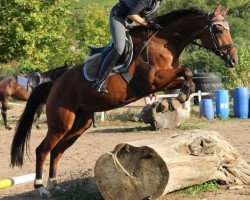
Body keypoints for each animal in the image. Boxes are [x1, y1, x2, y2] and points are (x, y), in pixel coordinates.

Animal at [10, 5, 237, 198]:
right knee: (43, 150)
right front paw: (175, 101)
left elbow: (187, 78)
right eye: (218, 29)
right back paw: (40, 188)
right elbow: (187, 71)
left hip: (79, 124)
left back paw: (54, 184)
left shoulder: (165, 79)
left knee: (56, 151)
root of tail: (55, 83)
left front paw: (172, 102)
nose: (233, 59)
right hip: (61, 122)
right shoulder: (154, 80)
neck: (164, 42)